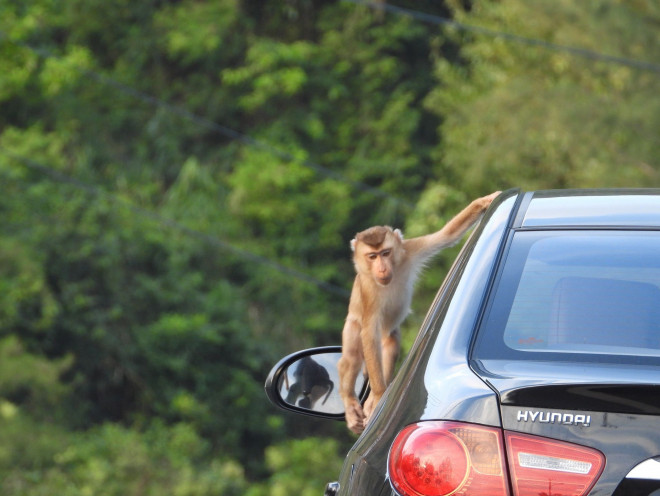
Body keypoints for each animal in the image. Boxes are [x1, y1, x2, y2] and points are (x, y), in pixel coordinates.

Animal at [338, 192, 498, 432]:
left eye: (386, 253)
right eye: (372, 256)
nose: (382, 268)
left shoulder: (410, 250)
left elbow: (446, 236)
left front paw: (485, 201)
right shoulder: (368, 288)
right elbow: (369, 332)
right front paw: (378, 396)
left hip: (389, 333)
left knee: (390, 343)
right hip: (351, 325)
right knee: (351, 357)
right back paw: (352, 402)